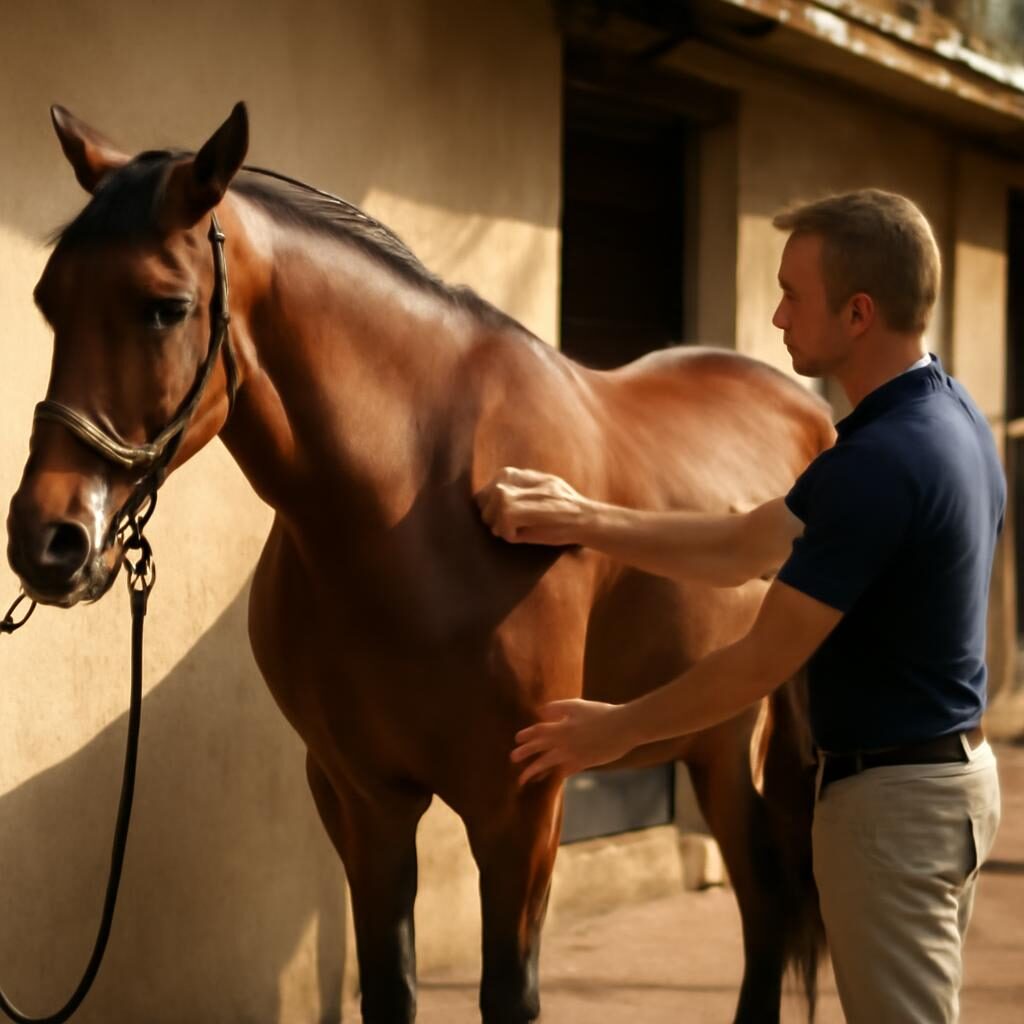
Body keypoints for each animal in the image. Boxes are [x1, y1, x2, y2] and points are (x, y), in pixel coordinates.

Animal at [6, 102, 833, 1023]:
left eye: (164, 307)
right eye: (48, 300)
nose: (49, 538)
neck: (416, 512)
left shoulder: (521, 806)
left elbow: (507, 993)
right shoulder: (363, 798)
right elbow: (388, 986)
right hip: (714, 734)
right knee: (763, 898)